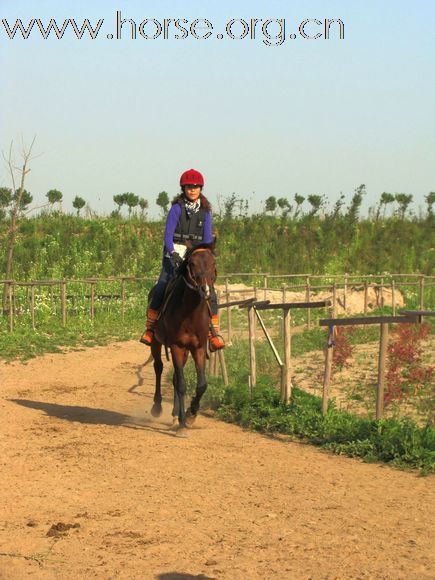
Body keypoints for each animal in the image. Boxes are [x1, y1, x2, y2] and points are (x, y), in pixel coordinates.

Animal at [150, 240, 218, 436]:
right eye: (192, 263)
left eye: (213, 263)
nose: (206, 290)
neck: (190, 312)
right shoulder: (176, 346)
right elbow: (181, 384)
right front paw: (182, 424)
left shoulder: (198, 348)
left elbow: (201, 385)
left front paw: (190, 414)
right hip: (156, 343)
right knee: (158, 367)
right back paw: (157, 407)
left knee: (173, 376)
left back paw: (174, 414)